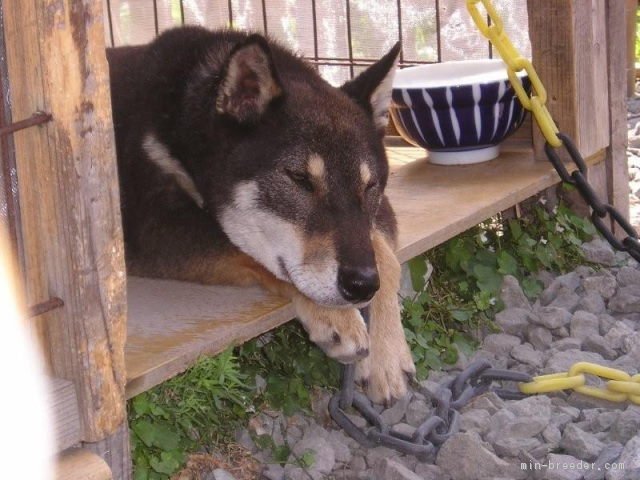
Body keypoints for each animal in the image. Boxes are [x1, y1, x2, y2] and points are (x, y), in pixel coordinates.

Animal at [106, 25, 416, 402]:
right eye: (299, 178)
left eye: (370, 186)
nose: (361, 285)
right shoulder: (149, 230)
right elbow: (250, 250)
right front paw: (339, 318)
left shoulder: (380, 213)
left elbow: (387, 260)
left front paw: (387, 355)